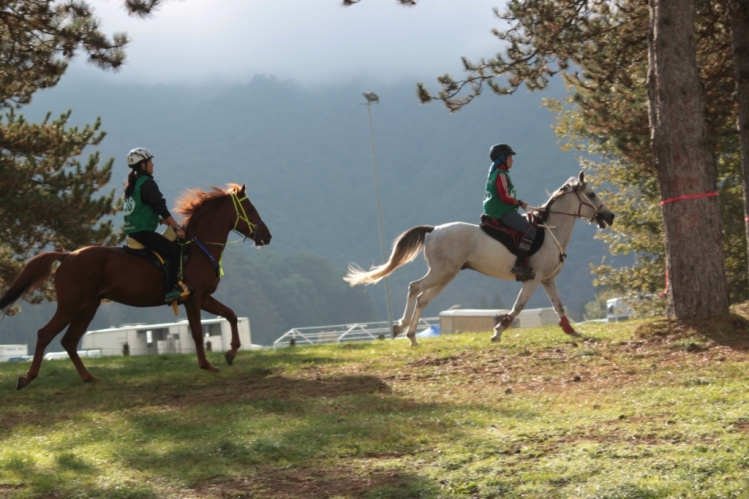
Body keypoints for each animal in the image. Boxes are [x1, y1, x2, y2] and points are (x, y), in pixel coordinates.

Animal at [0, 184, 268, 390]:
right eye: (251, 209)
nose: (267, 236)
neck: (197, 248)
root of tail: (67, 256)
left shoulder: (203, 297)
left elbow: (230, 315)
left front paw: (231, 353)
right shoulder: (194, 298)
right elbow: (198, 332)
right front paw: (207, 364)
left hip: (88, 307)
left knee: (69, 341)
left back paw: (89, 377)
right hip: (71, 306)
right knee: (45, 334)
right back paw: (27, 378)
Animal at [344, 170, 612, 346]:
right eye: (592, 194)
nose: (610, 217)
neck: (550, 232)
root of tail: (433, 229)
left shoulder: (548, 280)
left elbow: (558, 306)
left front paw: (570, 330)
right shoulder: (533, 280)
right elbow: (518, 306)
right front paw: (498, 331)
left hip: (446, 275)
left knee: (422, 298)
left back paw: (410, 336)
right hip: (441, 272)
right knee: (414, 288)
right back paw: (401, 327)